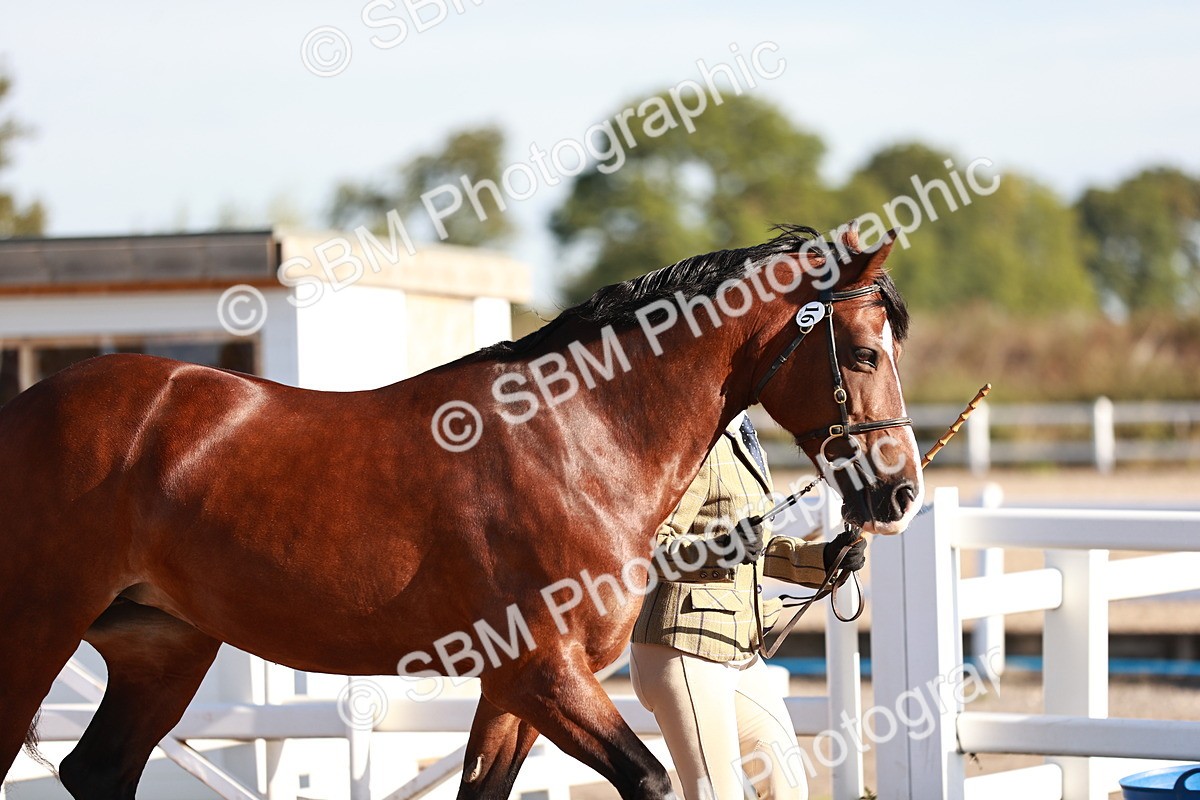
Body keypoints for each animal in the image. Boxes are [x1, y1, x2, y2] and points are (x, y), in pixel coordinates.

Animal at [0, 221, 923, 799]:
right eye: (864, 353)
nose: (902, 493)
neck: (574, 437)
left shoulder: (513, 687)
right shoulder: (546, 672)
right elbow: (654, 779)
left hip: (164, 648)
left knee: (96, 774)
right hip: (36, 634)